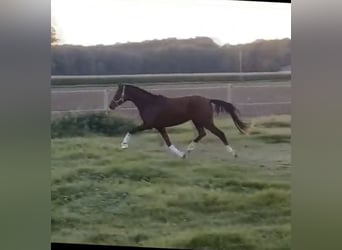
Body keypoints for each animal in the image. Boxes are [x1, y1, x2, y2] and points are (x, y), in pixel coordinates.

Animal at [109, 84, 248, 158]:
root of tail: (208, 100)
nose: (111, 106)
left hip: (206, 121)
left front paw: (123, 145)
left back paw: (233, 154)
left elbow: (131, 129)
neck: (149, 104)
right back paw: (189, 149)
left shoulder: (148, 125)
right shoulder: (160, 126)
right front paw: (181, 155)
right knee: (202, 134)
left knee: (220, 133)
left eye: (117, 94)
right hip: (198, 121)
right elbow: (168, 142)